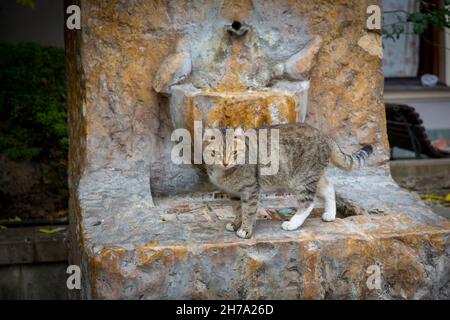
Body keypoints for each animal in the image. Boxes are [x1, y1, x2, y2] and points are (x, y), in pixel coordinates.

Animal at [204, 122, 372, 238]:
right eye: (215, 153)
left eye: (234, 153)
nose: (225, 163)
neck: (224, 173)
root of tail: (325, 135)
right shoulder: (234, 193)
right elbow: (238, 210)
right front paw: (235, 224)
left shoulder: (250, 189)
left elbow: (248, 211)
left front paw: (245, 230)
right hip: (313, 176)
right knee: (329, 188)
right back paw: (330, 214)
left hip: (304, 179)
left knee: (308, 203)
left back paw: (292, 223)